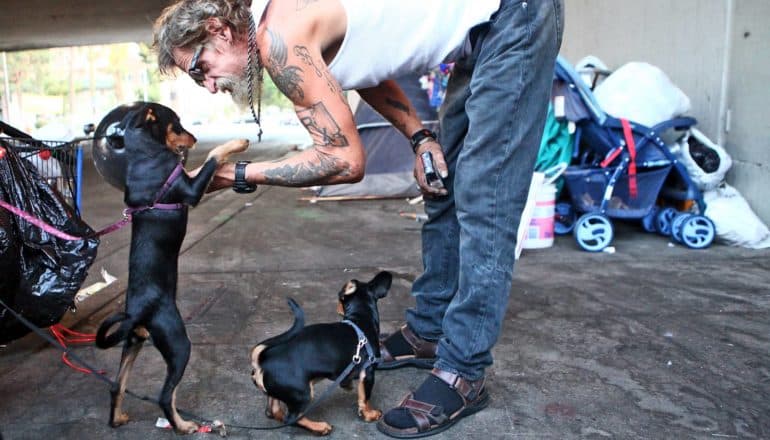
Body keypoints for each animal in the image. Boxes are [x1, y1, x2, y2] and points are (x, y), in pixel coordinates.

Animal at [94, 102, 248, 434]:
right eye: (176, 123)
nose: (193, 138)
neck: (143, 155)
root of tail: (138, 312)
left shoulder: (190, 183)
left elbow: (206, 168)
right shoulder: (190, 189)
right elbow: (212, 157)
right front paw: (238, 143)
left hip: (134, 341)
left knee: (116, 386)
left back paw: (117, 419)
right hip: (178, 344)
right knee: (165, 395)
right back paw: (183, 425)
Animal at [250, 270, 392, 434]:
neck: (360, 318)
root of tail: (262, 360)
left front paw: (347, 385)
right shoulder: (367, 372)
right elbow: (365, 398)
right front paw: (370, 414)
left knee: (272, 411)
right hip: (302, 393)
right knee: (291, 418)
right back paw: (320, 427)